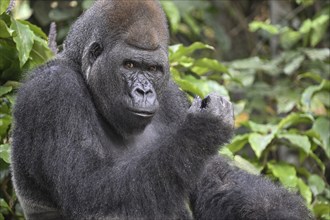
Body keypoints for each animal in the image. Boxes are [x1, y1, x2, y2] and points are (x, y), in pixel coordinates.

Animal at [11, 0, 314, 220]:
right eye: (129, 65)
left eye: (153, 69)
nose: (144, 91)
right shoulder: (54, 92)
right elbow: (90, 192)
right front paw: (203, 130)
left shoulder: (171, 95)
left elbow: (216, 183)